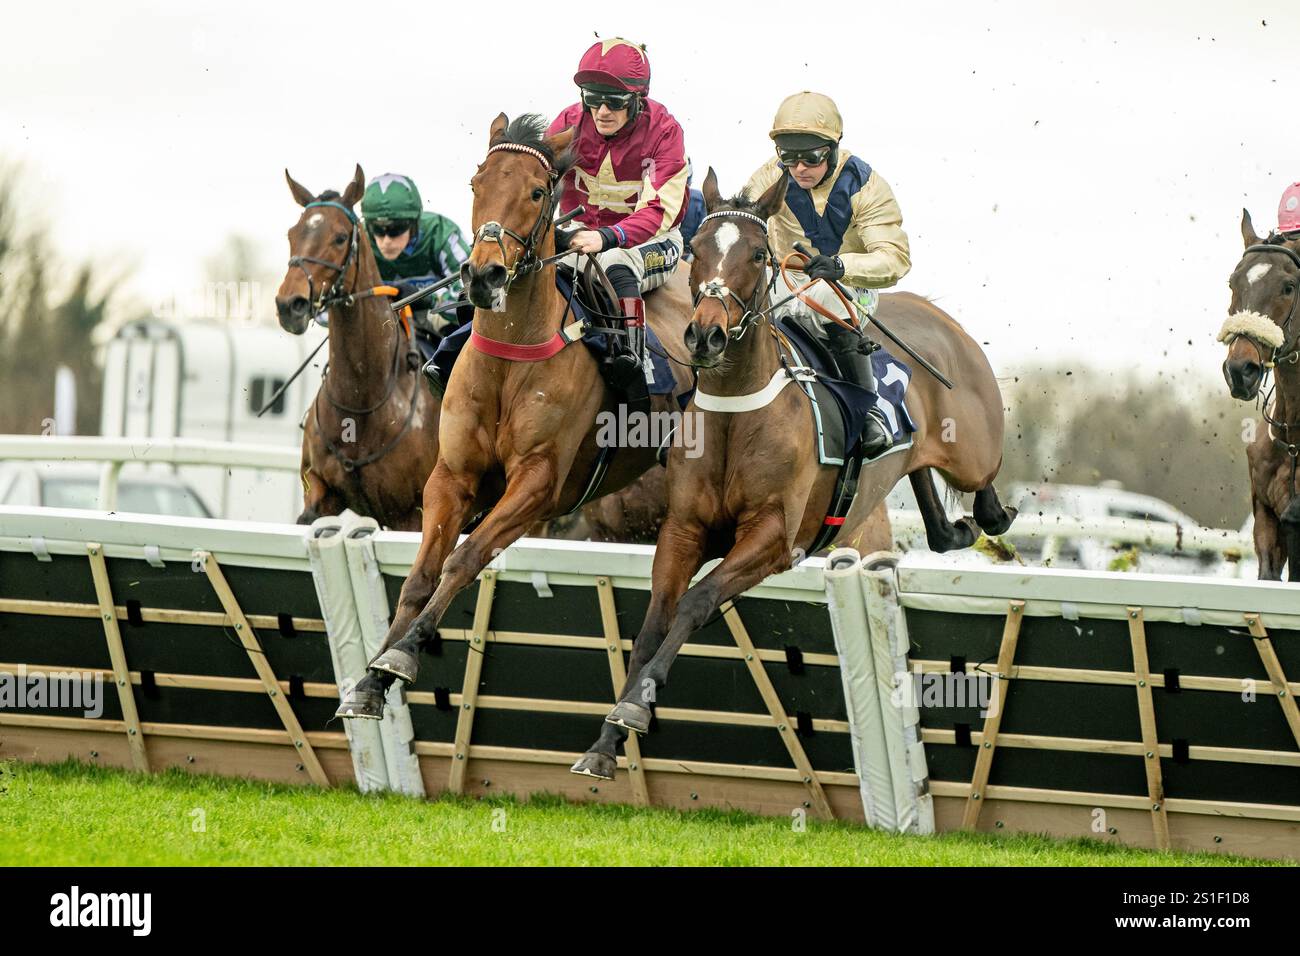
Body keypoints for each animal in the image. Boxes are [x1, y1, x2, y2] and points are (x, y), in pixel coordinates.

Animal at [335, 113, 696, 719]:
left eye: (536, 192)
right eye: (476, 183)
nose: (483, 276)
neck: (512, 358)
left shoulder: (537, 484)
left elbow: (465, 560)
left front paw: (403, 653)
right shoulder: (452, 475)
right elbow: (421, 575)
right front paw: (369, 679)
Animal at [570, 169, 1017, 779]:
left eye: (759, 255)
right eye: (696, 249)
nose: (705, 336)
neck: (738, 411)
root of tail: (937, 315)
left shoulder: (773, 537)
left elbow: (696, 602)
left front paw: (636, 707)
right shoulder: (682, 527)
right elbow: (654, 623)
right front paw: (605, 742)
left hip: (972, 448)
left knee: (982, 482)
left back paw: (989, 515)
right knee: (925, 484)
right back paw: (952, 528)